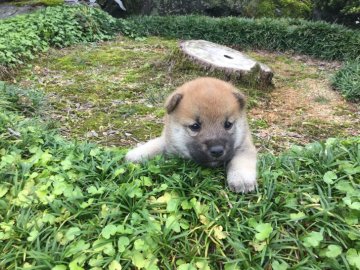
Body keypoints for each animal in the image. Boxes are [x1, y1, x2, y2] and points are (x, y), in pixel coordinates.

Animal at [125, 77, 258, 193]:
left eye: (228, 124)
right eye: (195, 126)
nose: (217, 151)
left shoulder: (245, 145)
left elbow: (241, 160)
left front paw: (241, 178)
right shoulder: (169, 141)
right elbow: (157, 144)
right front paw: (137, 154)